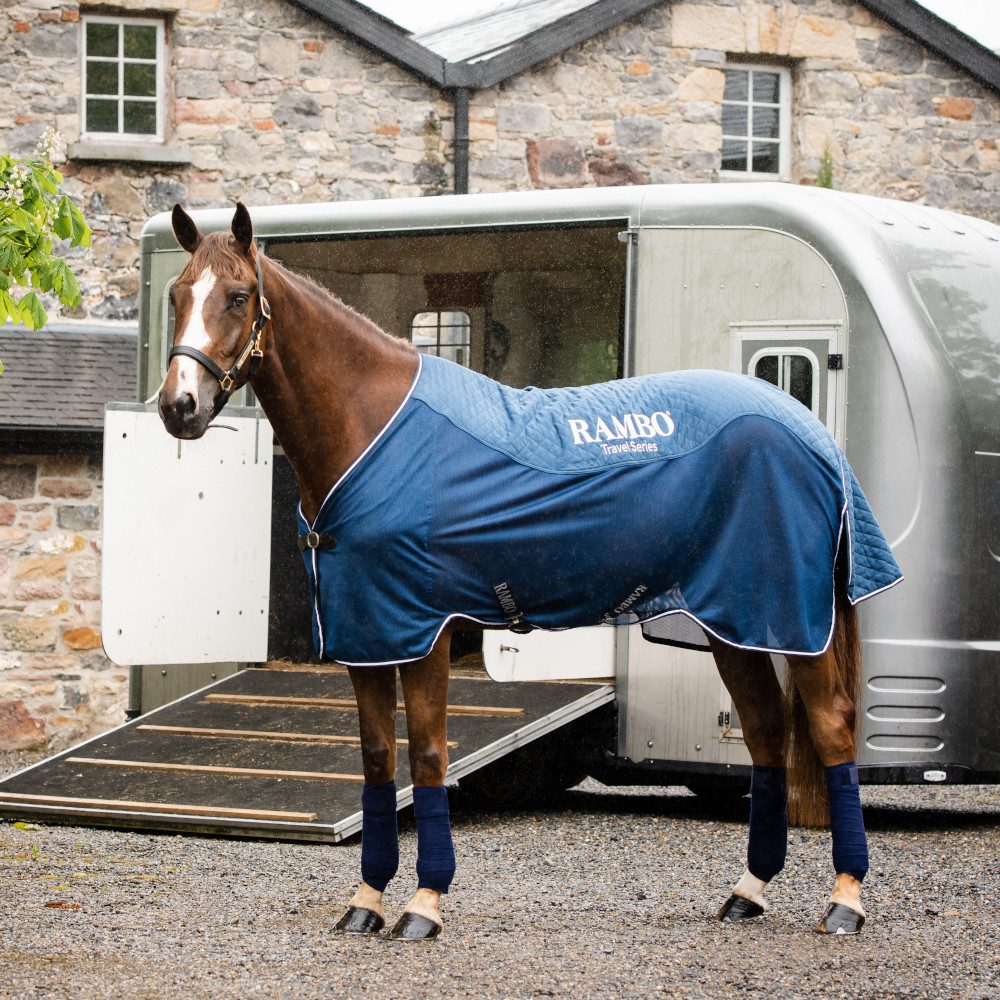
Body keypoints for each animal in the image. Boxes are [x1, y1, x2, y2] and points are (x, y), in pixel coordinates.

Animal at [158, 202, 901, 941]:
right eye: (176, 295)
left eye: (238, 296)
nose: (178, 407)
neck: (374, 429)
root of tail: (812, 433)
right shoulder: (369, 634)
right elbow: (376, 760)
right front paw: (366, 901)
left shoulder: (424, 631)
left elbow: (428, 754)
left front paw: (424, 905)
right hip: (733, 625)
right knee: (766, 732)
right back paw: (749, 891)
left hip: (796, 619)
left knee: (832, 727)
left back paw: (846, 900)